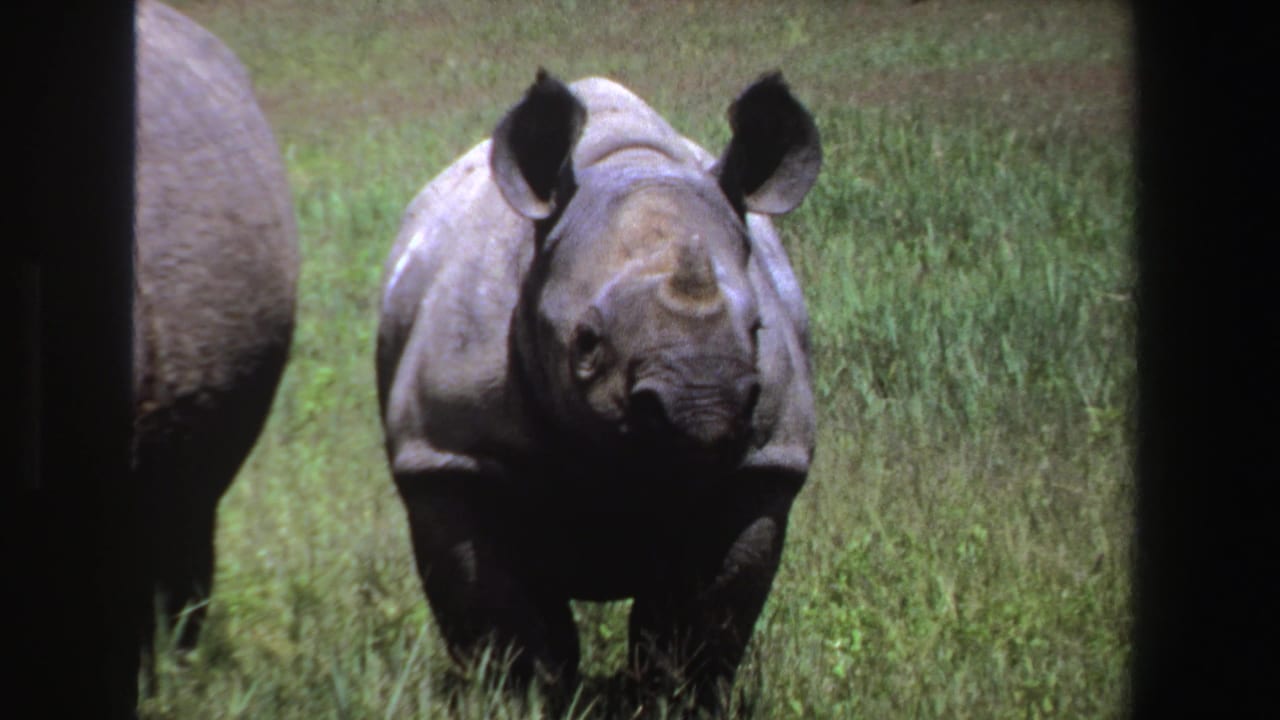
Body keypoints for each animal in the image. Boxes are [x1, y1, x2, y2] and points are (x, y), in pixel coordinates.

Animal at [376, 70, 819, 709]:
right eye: (585, 342)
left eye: (758, 329)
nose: (702, 409)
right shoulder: (449, 456)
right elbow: (504, 622)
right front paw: (525, 704)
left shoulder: (762, 465)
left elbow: (700, 623)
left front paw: (676, 703)